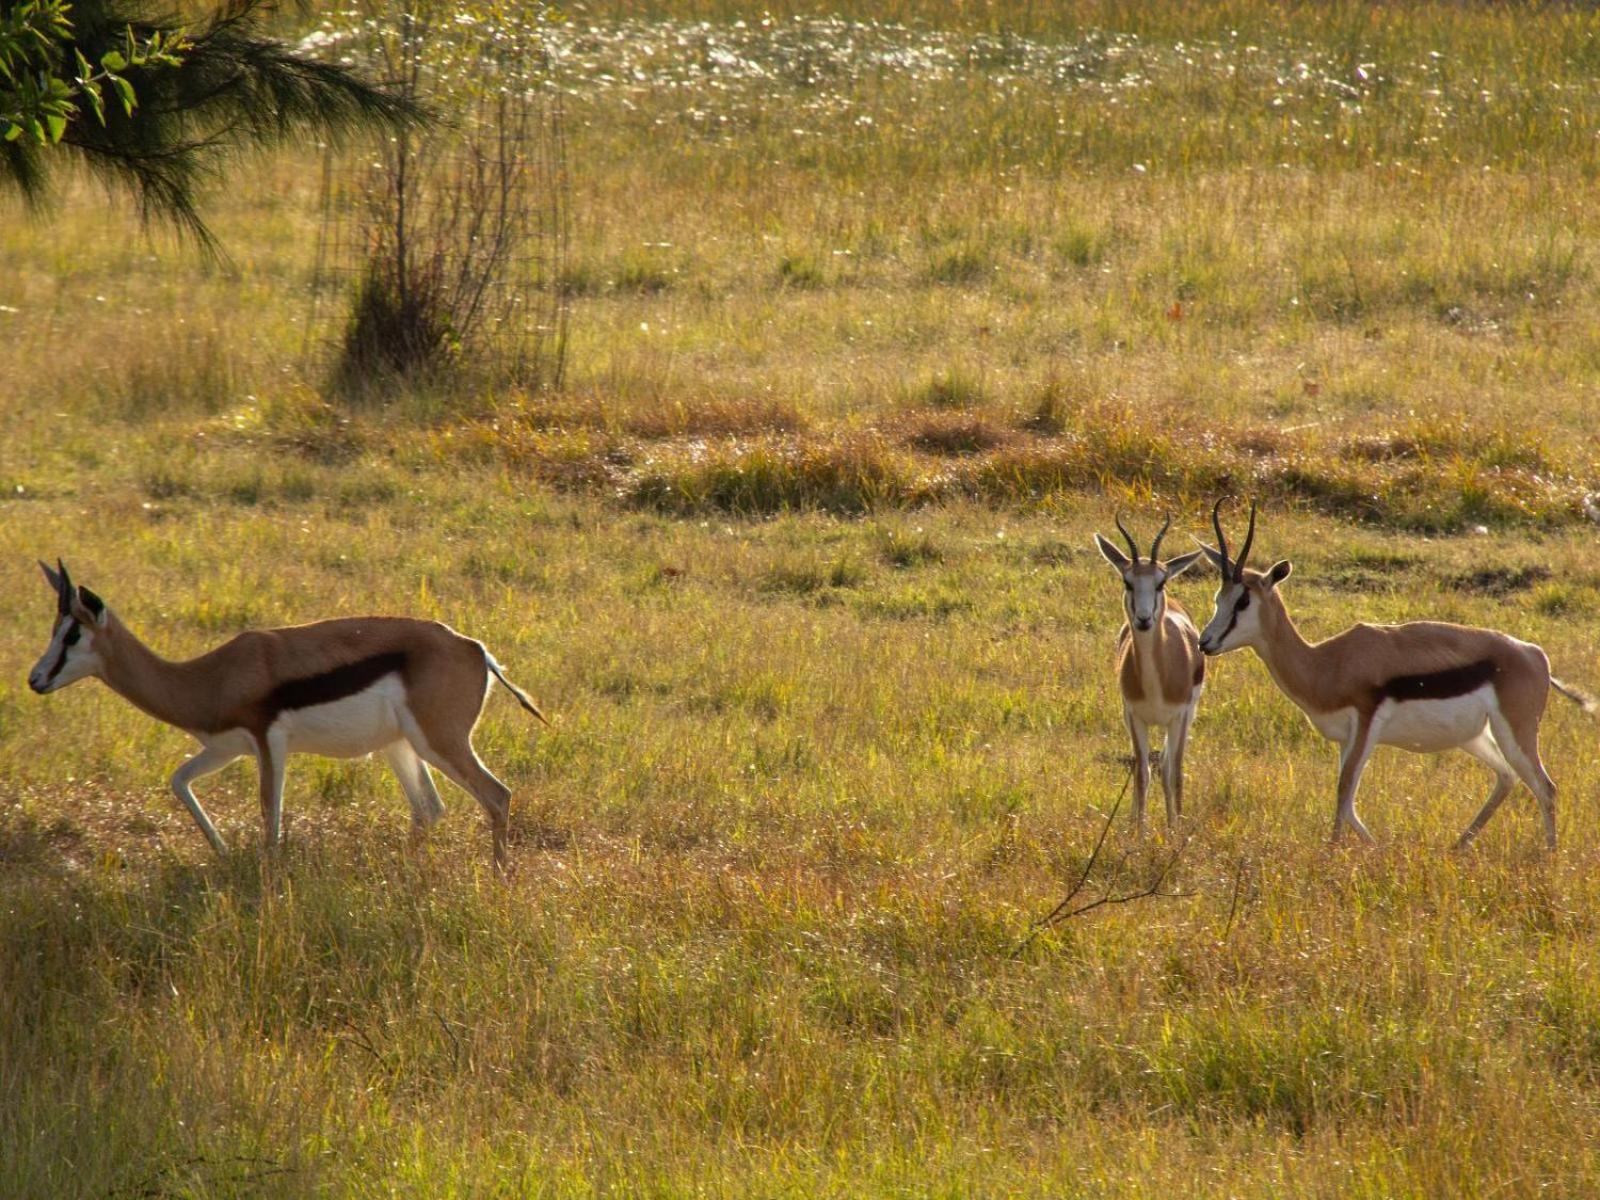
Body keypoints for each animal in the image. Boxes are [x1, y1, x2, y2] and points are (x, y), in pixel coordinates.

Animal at [25, 563, 547, 876]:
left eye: (72, 633)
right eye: (53, 628)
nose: (35, 679)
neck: (207, 677)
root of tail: (475, 648)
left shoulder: (267, 742)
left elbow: (269, 819)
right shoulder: (224, 747)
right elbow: (179, 781)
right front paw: (223, 853)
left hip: (439, 742)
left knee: (496, 796)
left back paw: (499, 879)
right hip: (400, 746)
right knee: (429, 809)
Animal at [1094, 518, 1203, 838]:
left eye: (1160, 582)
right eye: (1128, 582)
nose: (1143, 619)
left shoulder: (1180, 716)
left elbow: (1175, 772)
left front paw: (1176, 833)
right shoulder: (1134, 716)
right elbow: (1142, 773)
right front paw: (1140, 834)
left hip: (1185, 718)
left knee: (1166, 766)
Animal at [1196, 502, 1580, 851]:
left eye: (1243, 600)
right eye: (1219, 597)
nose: (1204, 642)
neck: (1326, 663)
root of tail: (1534, 654)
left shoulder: (1365, 727)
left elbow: (1343, 795)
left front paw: (1330, 859)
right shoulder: (1345, 740)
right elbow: (1349, 805)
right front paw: (1377, 851)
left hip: (1516, 733)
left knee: (1545, 787)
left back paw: (1548, 859)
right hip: (1475, 737)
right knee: (1507, 777)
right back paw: (1457, 847)